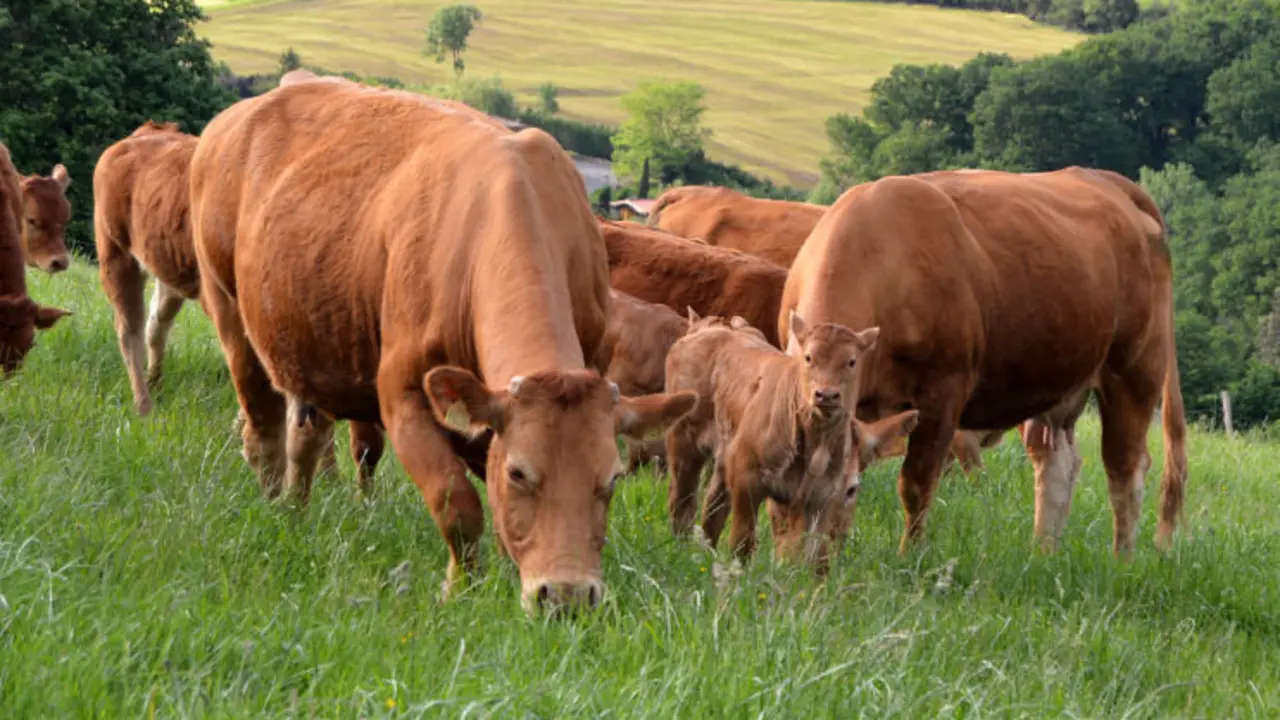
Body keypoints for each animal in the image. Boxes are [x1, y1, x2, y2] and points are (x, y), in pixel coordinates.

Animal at [189, 78, 696, 613]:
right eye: (519, 473)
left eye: (612, 477)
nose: (566, 597)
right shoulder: (404, 395)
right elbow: (456, 501)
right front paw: (461, 589)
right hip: (230, 313)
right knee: (262, 429)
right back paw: (272, 506)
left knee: (305, 436)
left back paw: (296, 511)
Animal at [664, 309, 918, 571]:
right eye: (808, 357)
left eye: (851, 361)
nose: (826, 395)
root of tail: (715, 327)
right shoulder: (747, 479)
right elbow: (742, 541)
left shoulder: (820, 497)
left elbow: (816, 554)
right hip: (683, 443)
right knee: (683, 500)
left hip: (724, 456)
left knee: (714, 503)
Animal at [779, 167, 1189, 556]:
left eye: (849, 490)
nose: (797, 560)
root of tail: (1106, 180)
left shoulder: (942, 394)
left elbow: (916, 485)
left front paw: (909, 557)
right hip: (1058, 376)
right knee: (1057, 465)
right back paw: (1043, 555)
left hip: (1134, 372)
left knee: (1126, 471)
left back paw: (1122, 560)